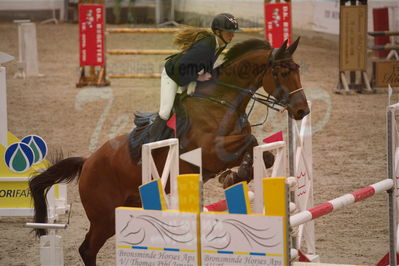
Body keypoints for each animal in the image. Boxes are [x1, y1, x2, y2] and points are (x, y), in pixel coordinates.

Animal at [28, 36, 310, 264]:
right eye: (282, 72)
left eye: (297, 70)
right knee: (87, 249)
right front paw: (232, 175)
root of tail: (87, 162)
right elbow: (250, 140)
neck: (222, 102)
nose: (302, 111)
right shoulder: (210, 152)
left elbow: (265, 153)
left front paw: (235, 175)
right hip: (104, 218)